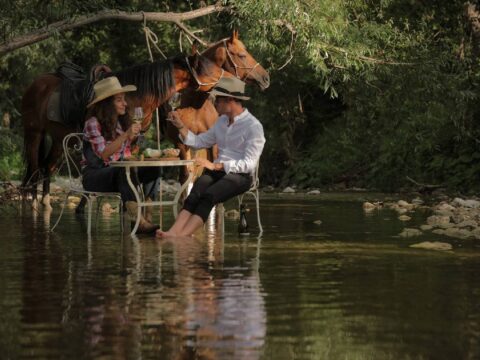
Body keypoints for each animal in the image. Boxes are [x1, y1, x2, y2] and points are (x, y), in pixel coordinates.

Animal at [22, 54, 231, 211]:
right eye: (210, 68)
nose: (230, 80)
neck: (134, 96)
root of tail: (36, 83)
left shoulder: (134, 143)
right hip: (34, 134)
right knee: (34, 169)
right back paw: (33, 203)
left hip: (58, 140)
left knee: (47, 168)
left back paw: (46, 203)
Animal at [165, 29, 270, 184]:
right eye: (242, 55)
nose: (266, 78)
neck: (194, 107)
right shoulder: (182, 146)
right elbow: (186, 178)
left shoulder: (213, 146)